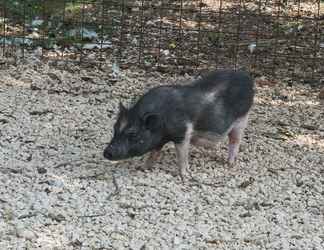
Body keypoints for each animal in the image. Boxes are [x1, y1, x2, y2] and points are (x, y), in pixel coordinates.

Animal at [105, 70, 254, 180]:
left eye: (133, 134)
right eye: (115, 129)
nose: (107, 152)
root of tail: (247, 78)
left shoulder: (183, 132)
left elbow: (182, 155)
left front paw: (184, 175)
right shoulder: (160, 139)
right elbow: (154, 154)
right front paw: (142, 167)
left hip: (242, 119)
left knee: (235, 141)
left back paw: (230, 163)